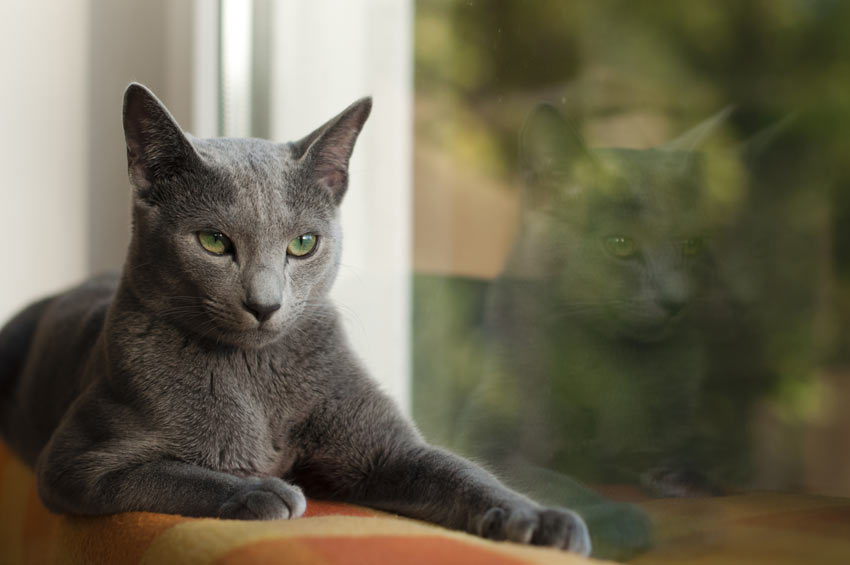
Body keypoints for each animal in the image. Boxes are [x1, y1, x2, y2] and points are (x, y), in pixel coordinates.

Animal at [0, 83, 588, 552]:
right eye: (213, 241)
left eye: (303, 244)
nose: (265, 304)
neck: (256, 378)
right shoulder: (77, 461)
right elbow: (176, 473)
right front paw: (261, 489)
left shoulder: (384, 448)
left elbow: (459, 471)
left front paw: (539, 519)